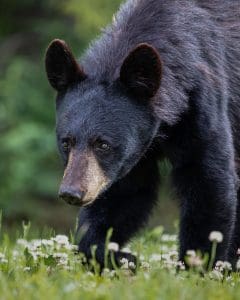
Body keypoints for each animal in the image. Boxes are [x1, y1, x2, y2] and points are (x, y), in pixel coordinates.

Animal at [44, 0, 240, 268]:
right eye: (66, 142)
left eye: (103, 144)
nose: (72, 193)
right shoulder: (130, 155)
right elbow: (125, 193)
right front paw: (118, 257)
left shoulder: (203, 101)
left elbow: (207, 178)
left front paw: (197, 266)